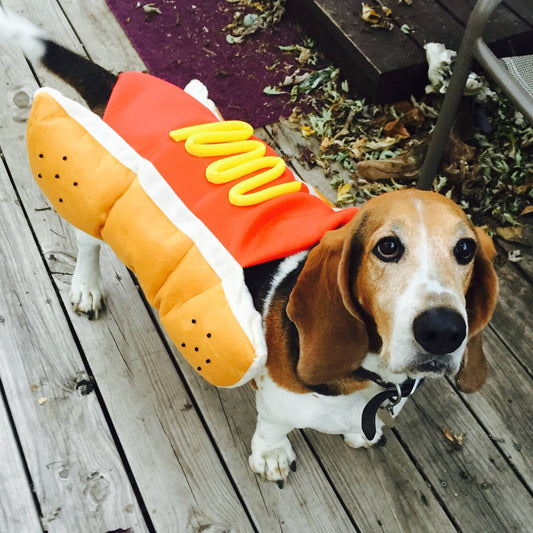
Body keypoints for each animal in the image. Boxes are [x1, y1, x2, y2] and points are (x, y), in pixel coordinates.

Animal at [2, 8, 496, 486]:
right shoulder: (279, 400)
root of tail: (123, 80)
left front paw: (360, 434)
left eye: (465, 250)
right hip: (100, 195)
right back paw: (86, 288)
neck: (369, 376)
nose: (443, 330)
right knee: (88, 244)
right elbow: (273, 423)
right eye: (387, 248)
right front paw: (272, 456)